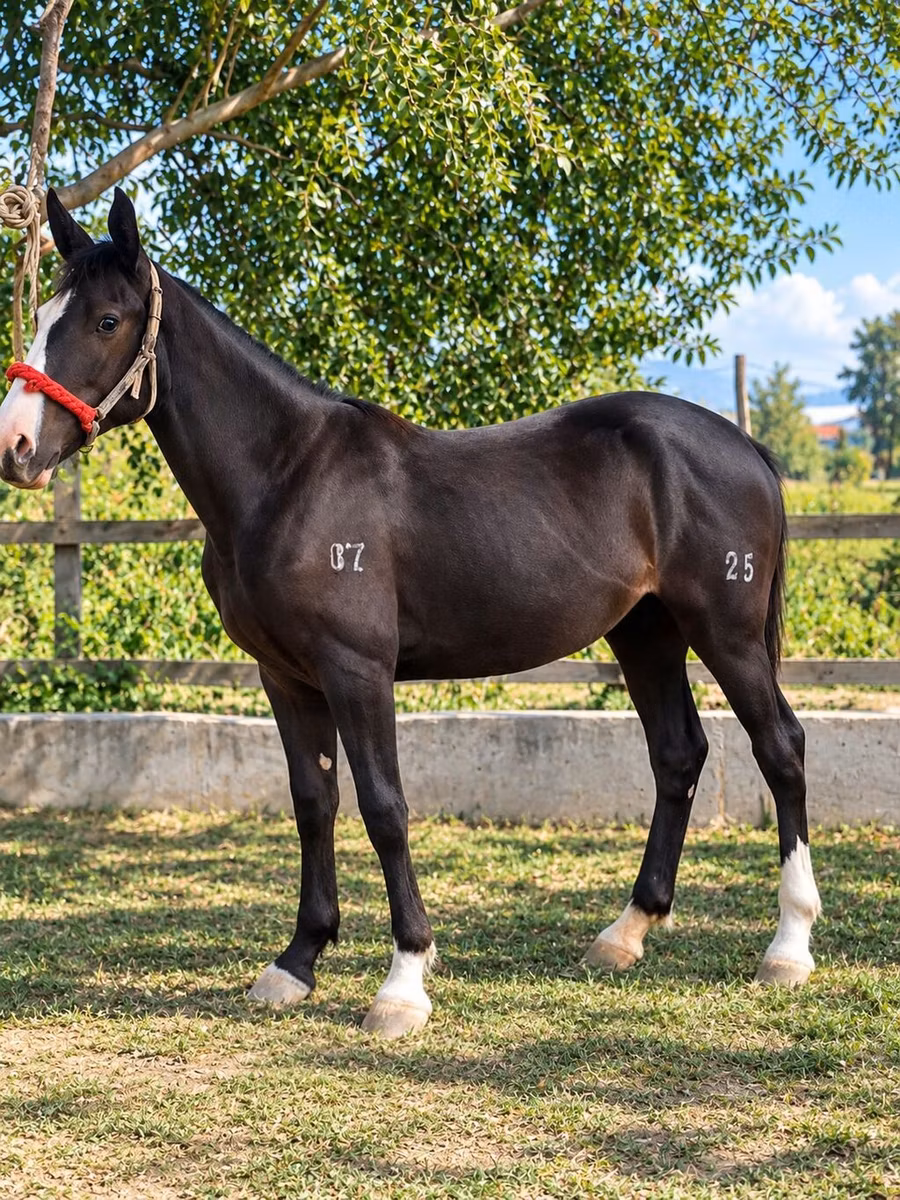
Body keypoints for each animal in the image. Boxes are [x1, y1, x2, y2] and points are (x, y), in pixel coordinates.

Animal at [0, 189, 821, 1036]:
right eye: (43, 313)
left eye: (106, 320)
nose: (16, 447)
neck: (286, 475)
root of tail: (744, 447)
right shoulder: (285, 677)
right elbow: (314, 803)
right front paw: (296, 963)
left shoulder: (356, 671)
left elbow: (384, 808)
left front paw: (403, 983)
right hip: (645, 633)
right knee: (678, 754)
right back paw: (625, 933)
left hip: (725, 634)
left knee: (780, 748)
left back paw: (787, 949)